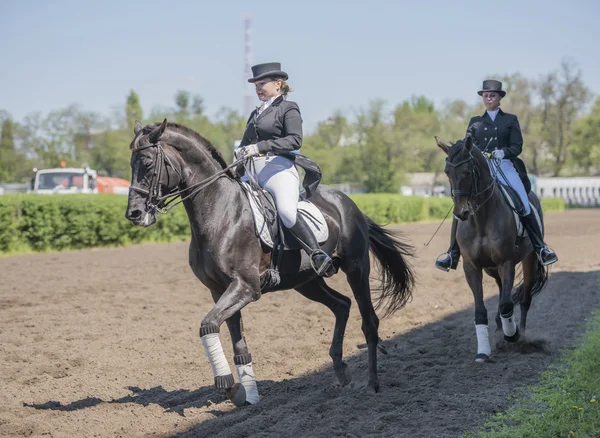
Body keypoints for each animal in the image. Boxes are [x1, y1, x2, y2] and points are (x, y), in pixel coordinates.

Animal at [125, 120, 418, 408]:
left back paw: (371, 384)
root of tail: (348, 202)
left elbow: (207, 325)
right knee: (342, 305)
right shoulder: (220, 290)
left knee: (369, 321)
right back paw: (340, 370)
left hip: (355, 268)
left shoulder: (245, 287)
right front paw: (245, 395)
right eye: (131, 164)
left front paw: (227, 384)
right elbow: (237, 343)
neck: (220, 213)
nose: (134, 214)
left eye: (147, 163)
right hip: (306, 282)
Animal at [436, 135, 548, 362]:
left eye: (467, 171)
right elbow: (481, 310)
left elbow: (507, 304)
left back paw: (521, 336)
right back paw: (499, 328)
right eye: (447, 172)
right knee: (501, 290)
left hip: (529, 260)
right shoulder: (471, 266)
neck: (481, 219)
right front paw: (483, 352)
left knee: (524, 299)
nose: (461, 213)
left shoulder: (507, 262)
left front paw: (512, 334)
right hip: (491, 268)